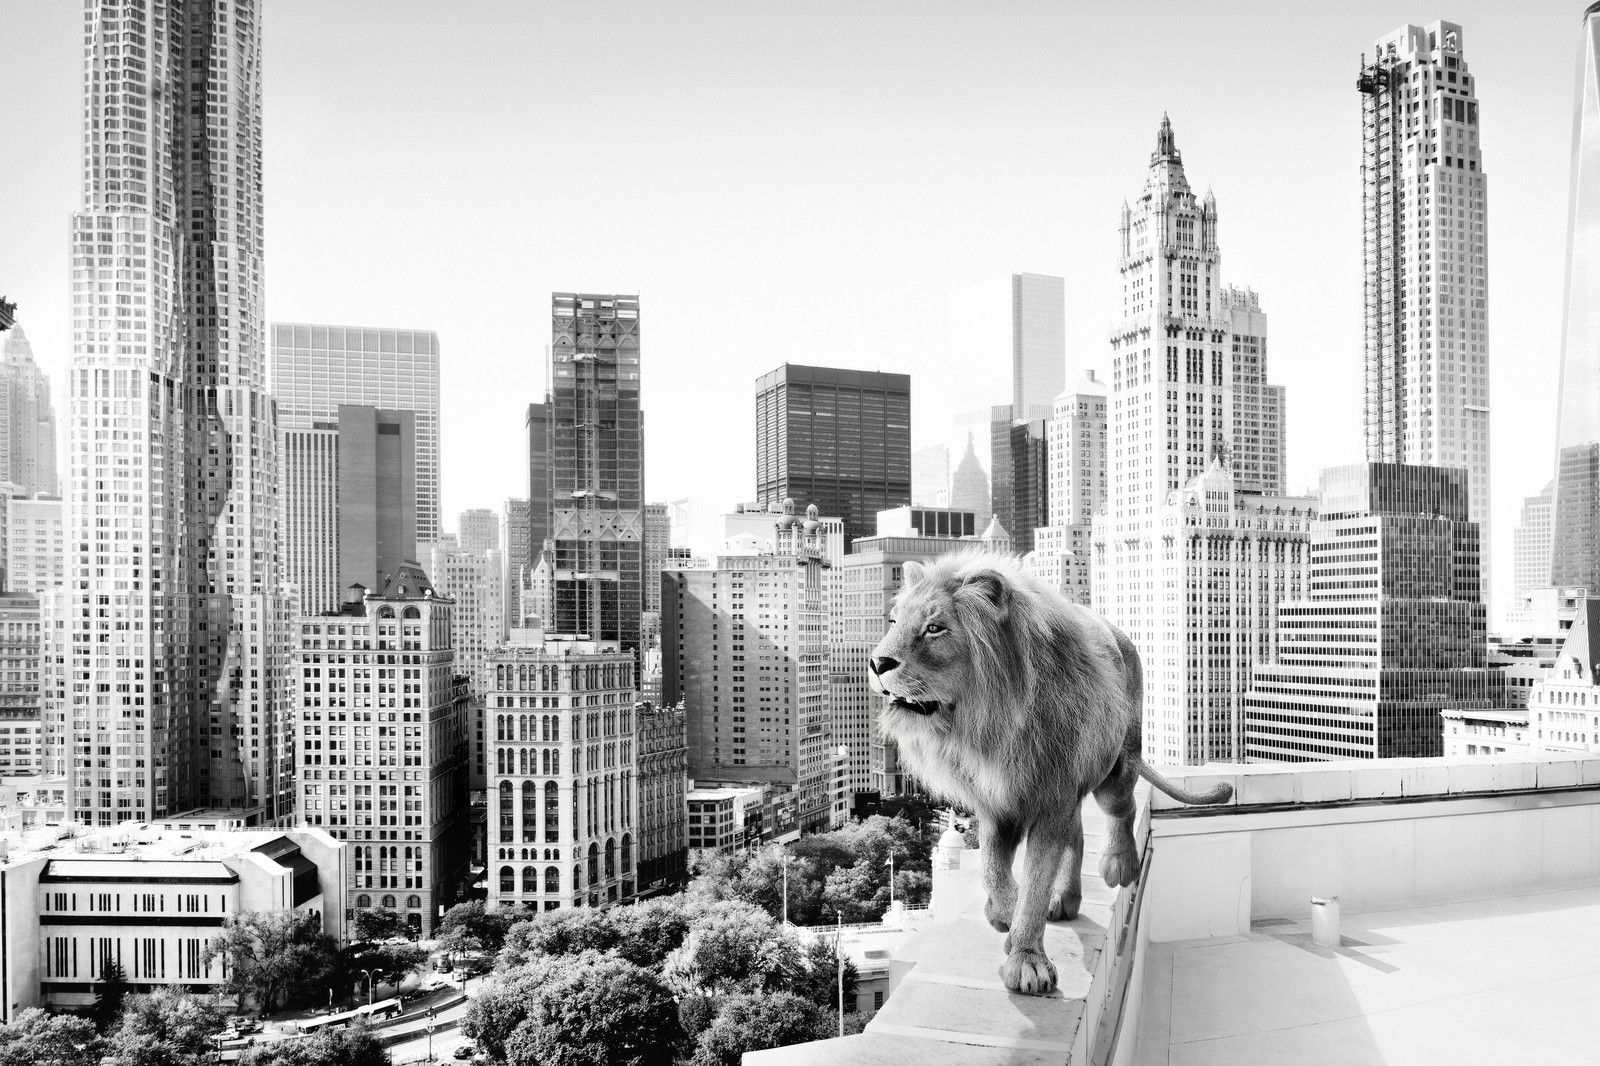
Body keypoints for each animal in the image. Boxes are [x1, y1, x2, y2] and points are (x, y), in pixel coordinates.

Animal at [867, 552, 1231, 996]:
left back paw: (1119, 864)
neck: (990, 721)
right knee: (1077, 835)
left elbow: (1036, 881)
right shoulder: (997, 801)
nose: (877, 663)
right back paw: (1066, 898)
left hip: (1116, 767)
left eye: (935, 628)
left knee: (1120, 811)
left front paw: (1027, 958)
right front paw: (1003, 912)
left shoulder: (1051, 797)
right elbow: (991, 867)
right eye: (893, 621)